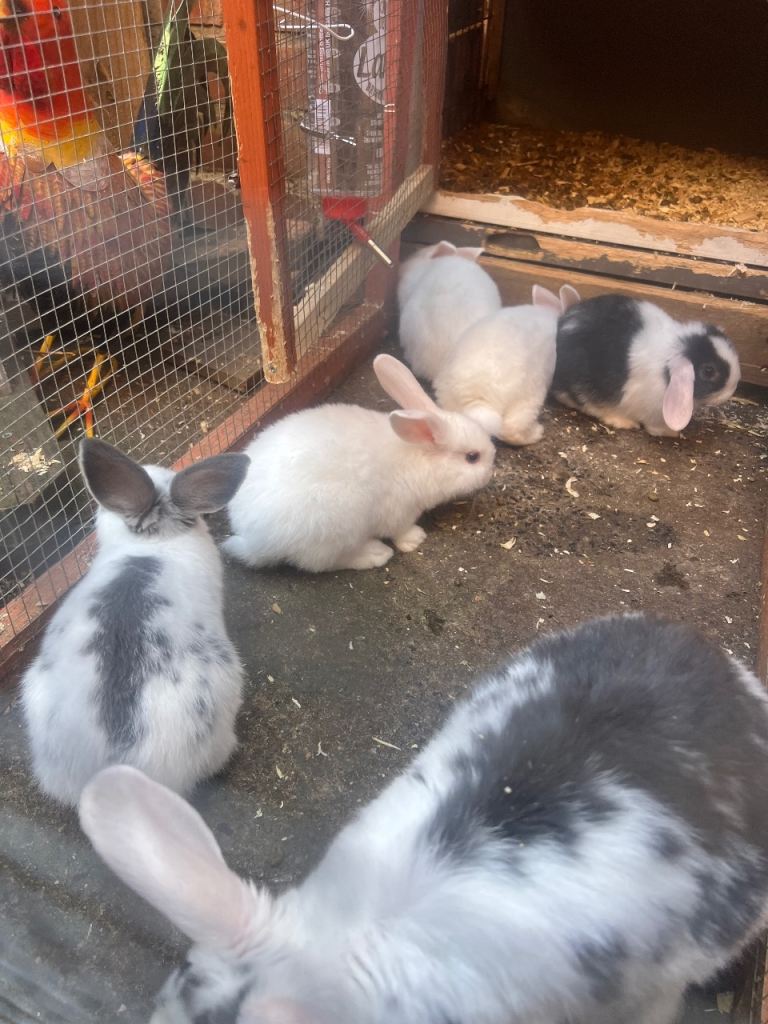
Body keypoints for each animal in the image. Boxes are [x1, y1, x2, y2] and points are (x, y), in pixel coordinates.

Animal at [222, 354, 495, 573]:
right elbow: (401, 530)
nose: (491, 471)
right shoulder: (400, 511)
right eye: (472, 457)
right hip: (335, 526)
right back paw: (375, 554)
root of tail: (254, 541)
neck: (418, 456)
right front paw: (415, 539)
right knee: (321, 563)